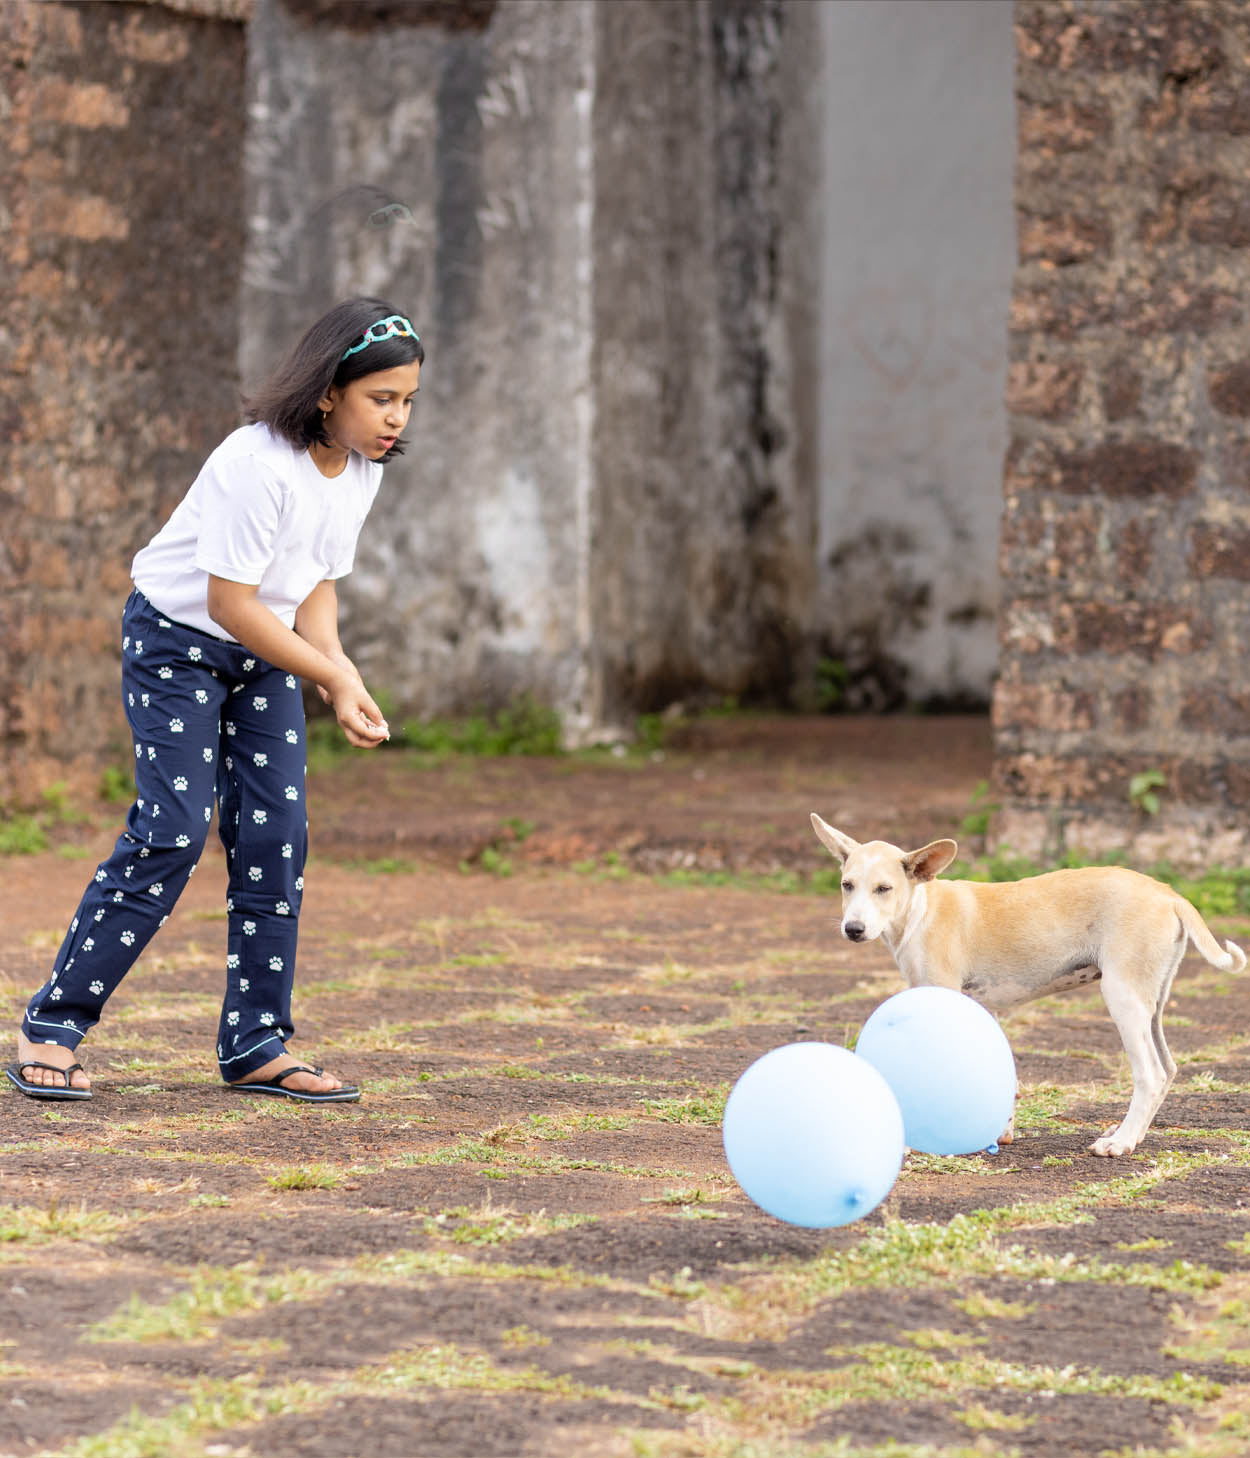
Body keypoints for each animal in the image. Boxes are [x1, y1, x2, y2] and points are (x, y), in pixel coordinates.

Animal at [810, 816, 1236, 1154]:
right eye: (847, 885)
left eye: (884, 889)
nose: (853, 929)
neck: (919, 912)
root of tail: (1168, 893)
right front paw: (1000, 1131)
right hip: (1152, 1003)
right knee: (1168, 1067)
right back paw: (1136, 1135)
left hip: (1123, 998)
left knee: (1151, 1074)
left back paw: (1121, 1142)